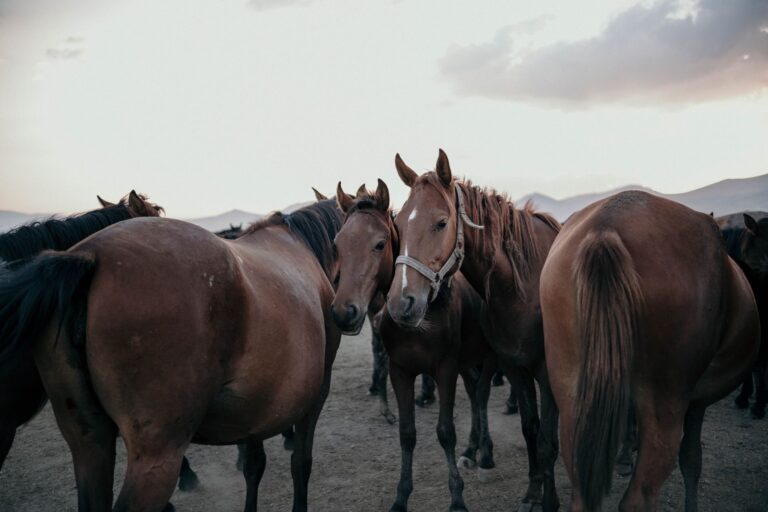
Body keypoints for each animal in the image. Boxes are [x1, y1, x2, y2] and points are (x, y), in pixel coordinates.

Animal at [0, 198, 343, 512]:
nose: (346, 312)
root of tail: (89, 257)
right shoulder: (315, 396)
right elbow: (301, 464)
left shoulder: (257, 407)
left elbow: (254, 466)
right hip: (157, 456)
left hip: (89, 446)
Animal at [331, 180, 498, 512]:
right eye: (338, 245)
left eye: (380, 243)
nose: (344, 312)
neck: (423, 316)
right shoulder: (401, 371)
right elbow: (407, 435)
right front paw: (400, 497)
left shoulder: (445, 369)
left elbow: (446, 433)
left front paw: (457, 499)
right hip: (467, 363)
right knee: (475, 392)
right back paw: (472, 450)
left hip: (486, 358)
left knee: (482, 394)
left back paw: (485, 454)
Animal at [386, 150, 562, 512]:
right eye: (398, 223)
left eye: (441, 223)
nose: (400, 303)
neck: (524, 286)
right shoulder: (514, 367)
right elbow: (530, 428)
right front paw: (533, 492)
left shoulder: (546, 373)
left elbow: (548, 440)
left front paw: (550, 500)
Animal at [540, 190, 759, 511]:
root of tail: (606, 227)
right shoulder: (696, 404)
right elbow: (691, 461)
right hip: (664, 407)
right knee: (638, 499)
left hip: (571, 401)